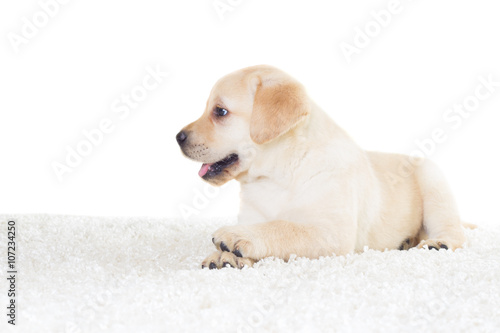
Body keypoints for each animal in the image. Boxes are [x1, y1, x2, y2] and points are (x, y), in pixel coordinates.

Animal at [177, 65, 468, 270]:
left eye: (220, 111)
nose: (178, 137)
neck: (278, 174)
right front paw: (224, 255)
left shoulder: (331, 233)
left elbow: (284, 228)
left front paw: (236, 236)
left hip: (434, 183)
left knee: (452, 230)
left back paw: (437, 243)